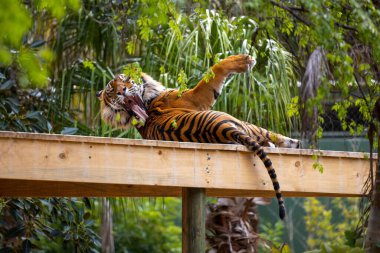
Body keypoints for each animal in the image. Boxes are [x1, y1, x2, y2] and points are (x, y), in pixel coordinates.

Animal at [97, 55, 300, 219]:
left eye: (123, 80)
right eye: (111, 90)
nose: (120, 91)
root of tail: (222, 129)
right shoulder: (195, 97)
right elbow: (214, 71)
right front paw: (243, 60)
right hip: (241, 123)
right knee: (269, 135)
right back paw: (294, 143)